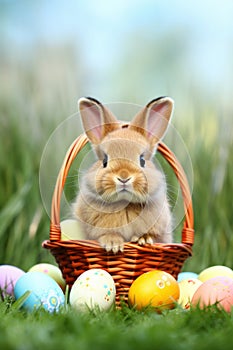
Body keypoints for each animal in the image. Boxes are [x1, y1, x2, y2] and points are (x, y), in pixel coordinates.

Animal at [73, 96, 173, 252]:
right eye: (105, 161)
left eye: (142, 160)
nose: (124, 178)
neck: (124, 203)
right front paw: (112, 244)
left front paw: (144, 240)